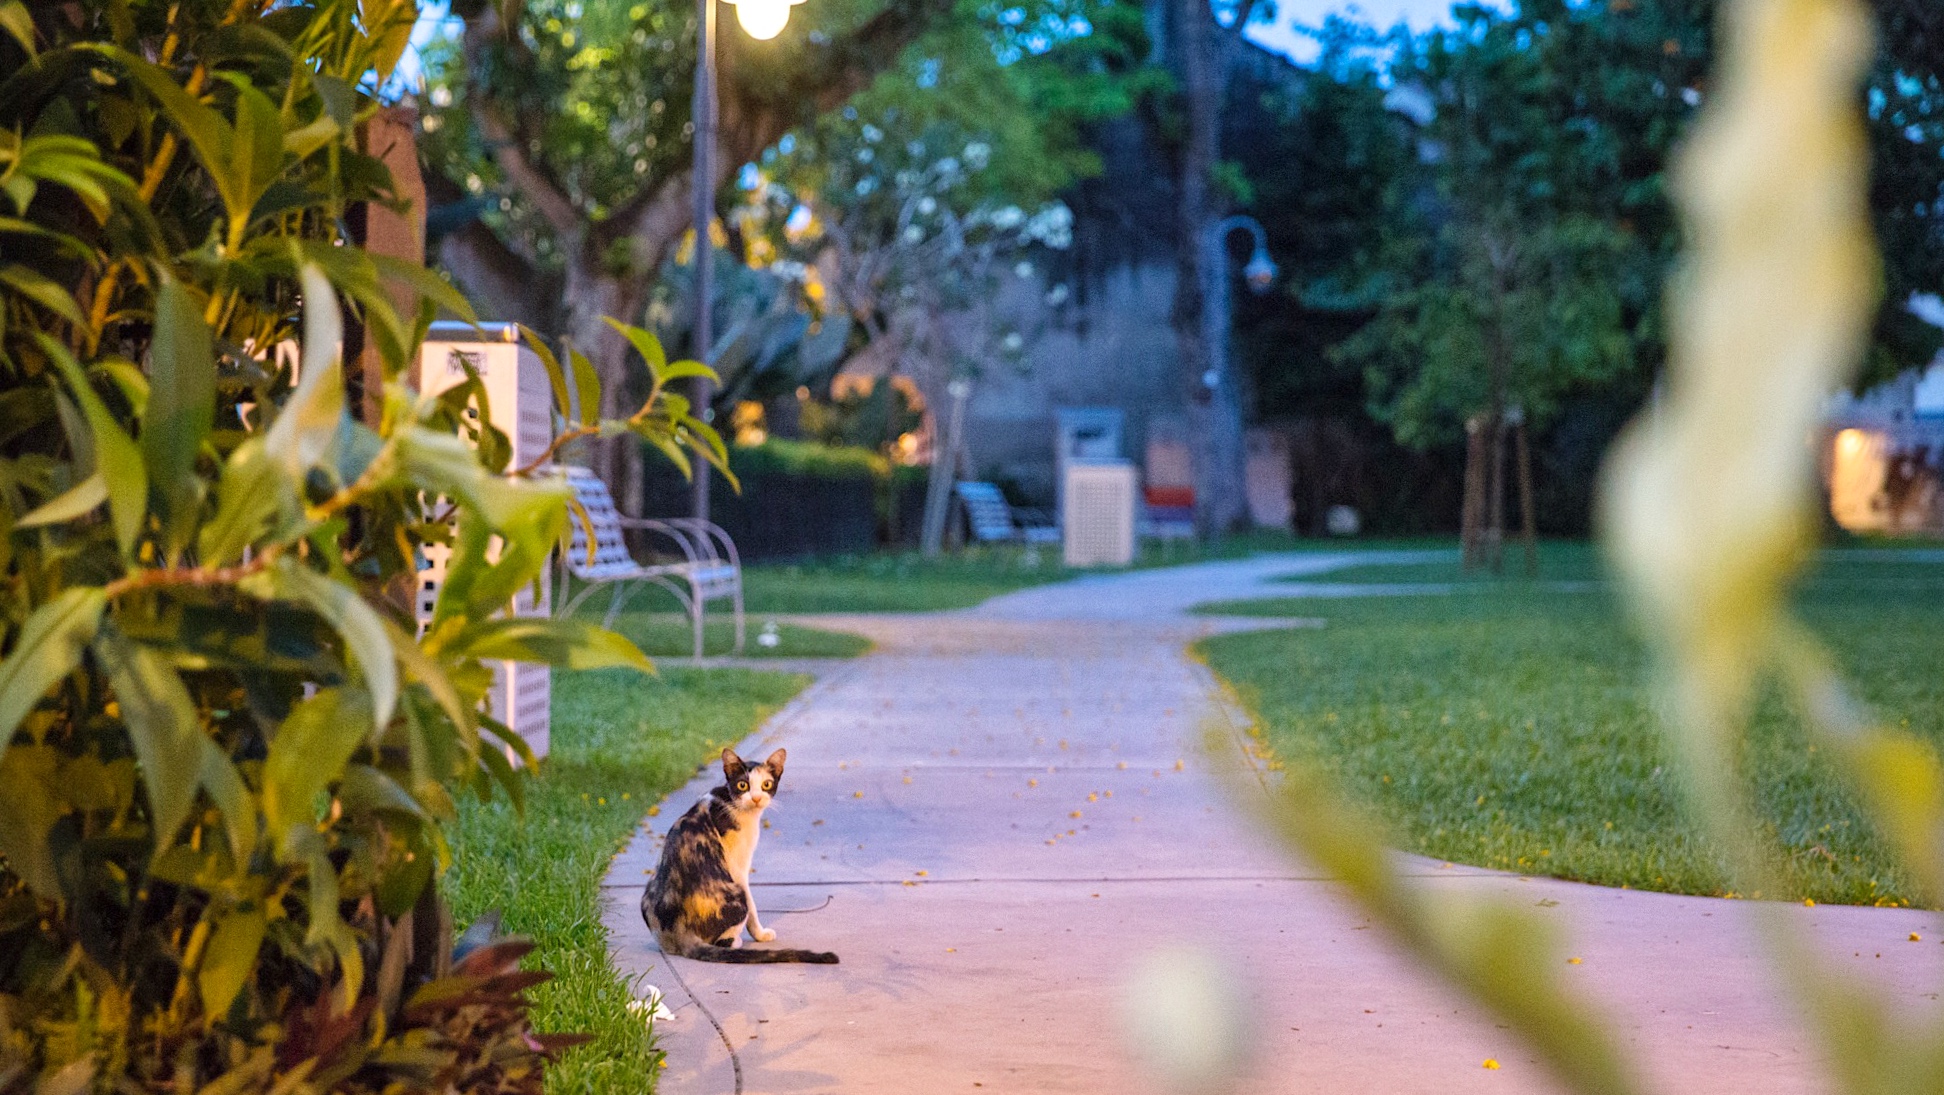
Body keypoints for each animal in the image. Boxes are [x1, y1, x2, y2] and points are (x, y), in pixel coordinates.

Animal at [637, 750, 835, 964]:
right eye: (743, 785)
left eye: (766, 784)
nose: (756, 798)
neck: (730, 802)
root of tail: (678, 930)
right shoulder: (738, 867)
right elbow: (753, 908)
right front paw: (760, 934)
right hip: (737, 894)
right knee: (724, 938)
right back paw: (736, 941)